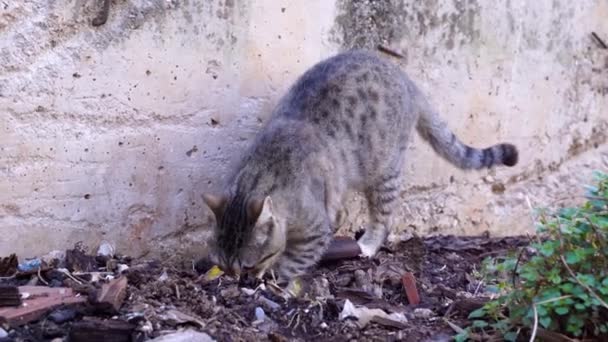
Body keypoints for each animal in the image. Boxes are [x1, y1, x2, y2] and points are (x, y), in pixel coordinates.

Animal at [202, 50, 516, 286]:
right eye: (222, 265)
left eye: (246, 265)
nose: (237, 280)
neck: (262, 173)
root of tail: (406, 79)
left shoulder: (314, 226)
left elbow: (295, 259)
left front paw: (275, 279)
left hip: (384, 172)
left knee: (383, 217)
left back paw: (366, 245)